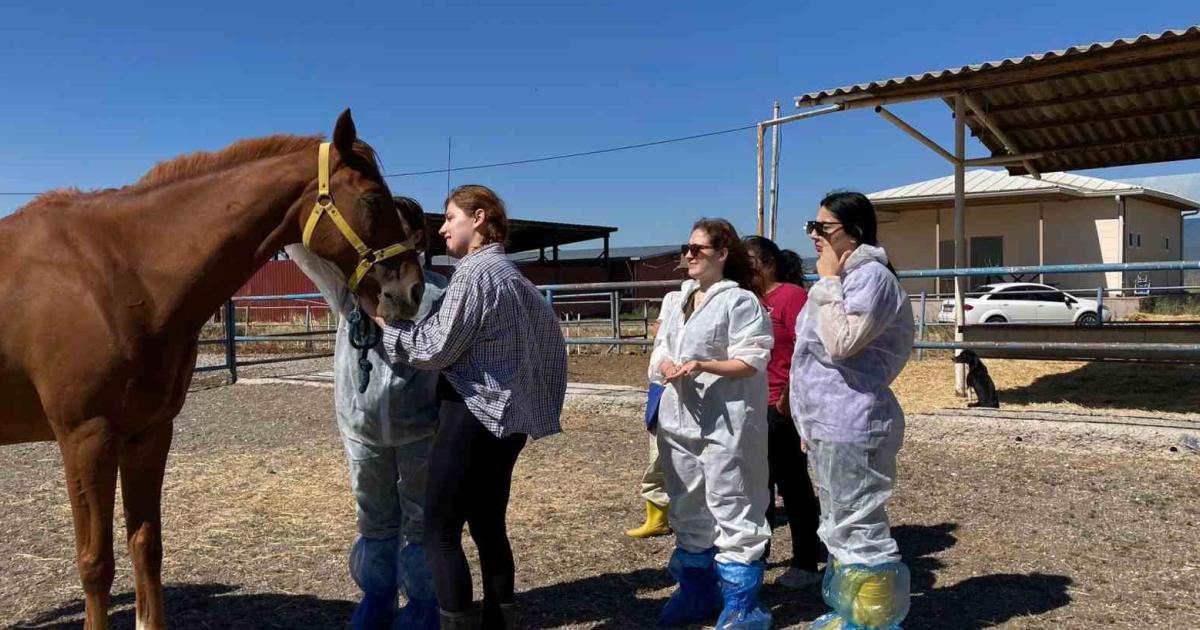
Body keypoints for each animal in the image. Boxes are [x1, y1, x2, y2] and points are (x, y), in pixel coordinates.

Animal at [0, 109, 427, 628]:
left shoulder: (148, 433)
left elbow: (146, 544)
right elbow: (95, 564)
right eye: (371, 199)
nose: (411, 290)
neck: (117, 274)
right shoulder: (85, 439)